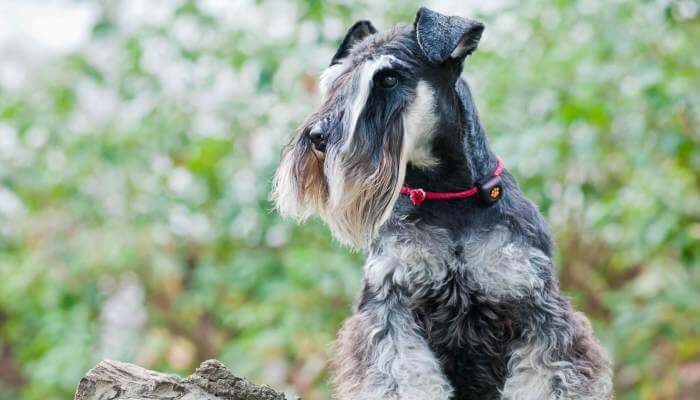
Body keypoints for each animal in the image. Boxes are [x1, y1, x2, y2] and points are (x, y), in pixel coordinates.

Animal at [274, 6, 612, 400]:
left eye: (388, 78)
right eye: (335, 83)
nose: (318, 137)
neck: (447, 194)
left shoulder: (537, 308)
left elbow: (547, 377)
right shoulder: (391, 305)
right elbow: (401, 375)